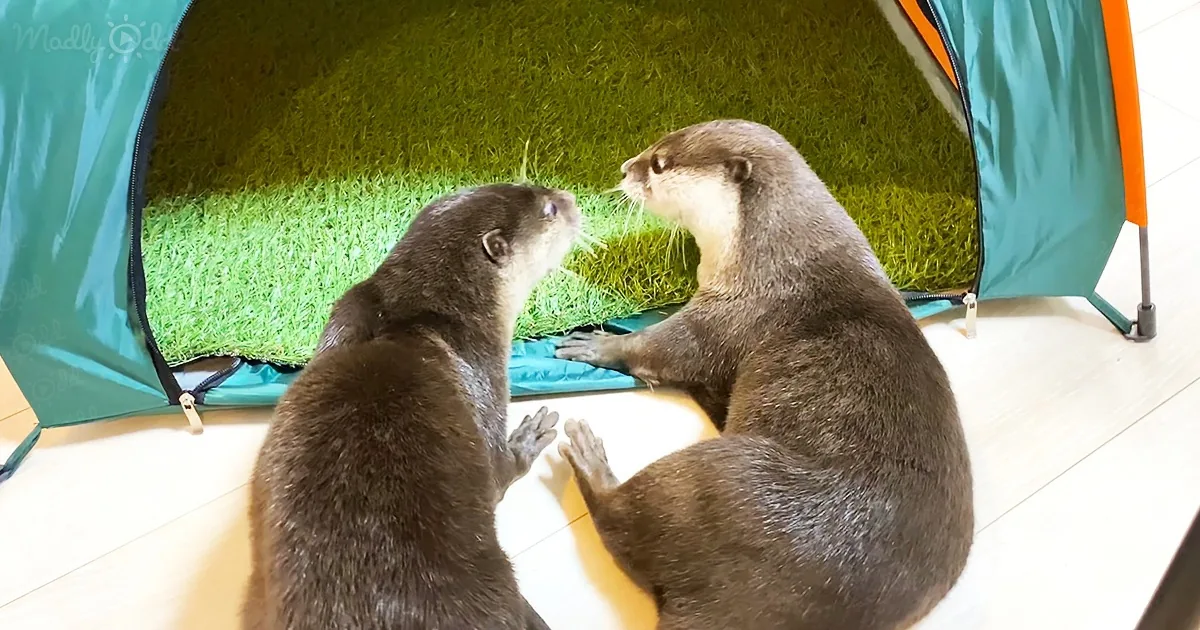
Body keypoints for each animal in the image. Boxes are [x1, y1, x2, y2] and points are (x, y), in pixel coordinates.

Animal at [243, 183, 581, 630]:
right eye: (550, 209)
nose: (571, 197)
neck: (414, 318)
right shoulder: (486, 375)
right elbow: (499, 474)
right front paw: (528, 437)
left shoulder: (348, 309)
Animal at [554, 120, 973, 630]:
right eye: (655, 147)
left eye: (660, 163)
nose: (624, 168)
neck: (774, 257)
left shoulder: (736, 307)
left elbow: (666, 347)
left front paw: (595, 343)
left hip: (720, 478)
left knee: (618, 519)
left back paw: (588, 457)